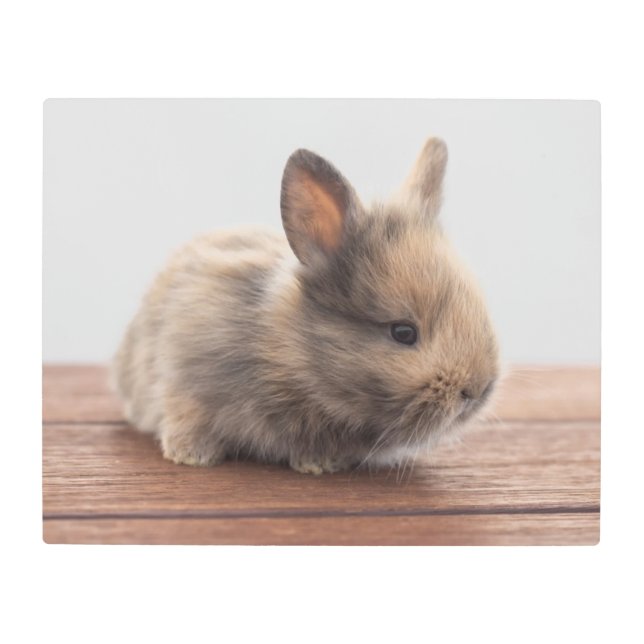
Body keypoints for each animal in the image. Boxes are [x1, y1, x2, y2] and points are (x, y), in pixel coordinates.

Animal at [111, 137, 499, 474]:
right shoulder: (185, 376)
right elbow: (186, 415)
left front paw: (320, 464)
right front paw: (191, 456)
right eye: (403, 332)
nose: (476, 390)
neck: (289, 356)